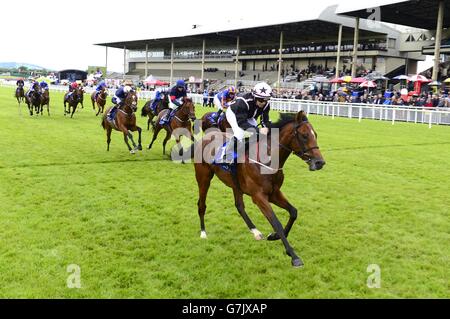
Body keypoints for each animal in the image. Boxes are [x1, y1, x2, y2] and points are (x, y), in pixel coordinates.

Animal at [192, 111, 326, 268]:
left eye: (315, 134)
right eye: (304, 135)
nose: (320, 162)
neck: (267, 160)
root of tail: (206, 137)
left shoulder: (274, 193)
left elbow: (293, 212)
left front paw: (274, 236)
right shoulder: (258, 196)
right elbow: (276, 223)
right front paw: (294, 256)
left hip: (235, 183)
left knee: (239, 206)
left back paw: (255, 232)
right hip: (204, 178)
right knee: (201, 205)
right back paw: (203, 232)